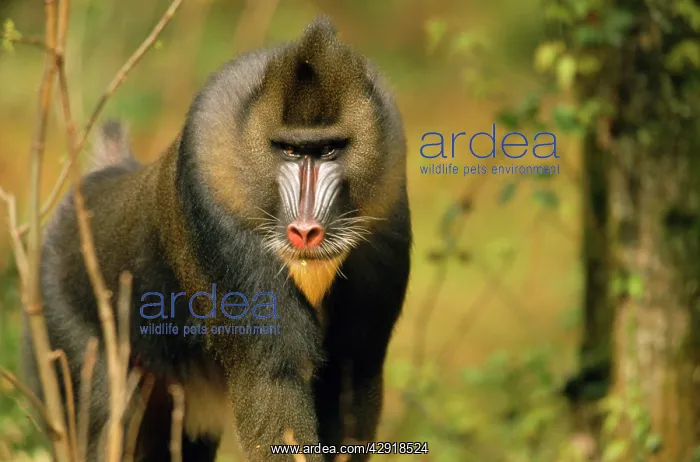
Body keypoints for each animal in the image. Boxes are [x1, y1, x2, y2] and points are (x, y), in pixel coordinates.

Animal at [21, 15, 411, 462]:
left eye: (329, 149)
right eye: (290, 151)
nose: (305, 231)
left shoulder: (385, 210)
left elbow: (352, 373)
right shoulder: (219, 209)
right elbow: (271, 379)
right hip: (67, 335)